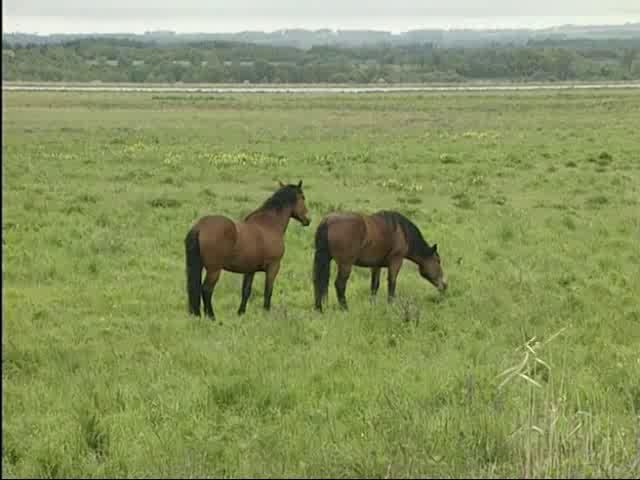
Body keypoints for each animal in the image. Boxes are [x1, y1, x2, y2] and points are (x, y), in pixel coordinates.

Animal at [184, 182, 312, 320]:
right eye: (303, 197)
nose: (308, 220)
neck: (269, 225)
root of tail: (199, 227)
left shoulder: (250, 270)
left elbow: (246, 291)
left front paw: (241, 312)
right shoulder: (273, 267)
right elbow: (268, 291)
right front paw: (266, 312)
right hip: (214, 270)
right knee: (206, 290)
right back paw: (212, 317)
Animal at [312, 210, 448, 312]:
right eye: (438, 261)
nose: (445, 286)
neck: (402, 232)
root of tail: (327, 221)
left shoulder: (376, 265)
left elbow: (374, 286)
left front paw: (373, 305)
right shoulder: (396, 262)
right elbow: (392, 284)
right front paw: (391, 305)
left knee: (318, 282)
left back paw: (319, 309)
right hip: (345, 265)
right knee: (339, 284)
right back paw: (345, 308)